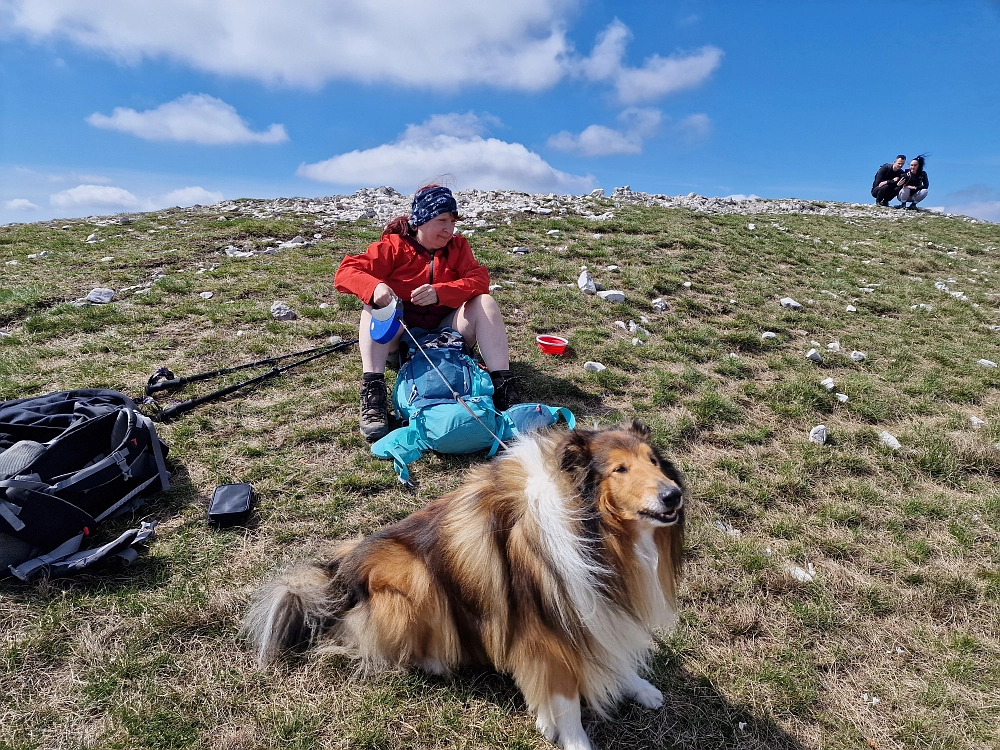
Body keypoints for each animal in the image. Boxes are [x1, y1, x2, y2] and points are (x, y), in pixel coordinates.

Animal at [245, 424, 684, 750]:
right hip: (416, 579)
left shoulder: (599, 609)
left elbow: (614, 650)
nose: (673, 495)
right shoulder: (547, 630)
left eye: (654, 461)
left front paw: (640, 688)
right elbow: (566, 700)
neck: (591, 530)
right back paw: (438, 661)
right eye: (619, 470)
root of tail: (340, 575)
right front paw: (572, 737)